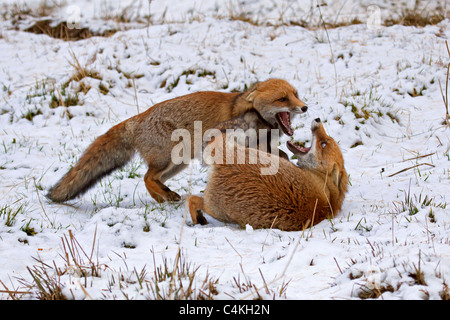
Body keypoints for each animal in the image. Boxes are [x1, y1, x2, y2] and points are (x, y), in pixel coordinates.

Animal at [47, 78, 308, 202]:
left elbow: (280, 156)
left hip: (178, 164)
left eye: (296, 94)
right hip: (169, 158)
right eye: (282, 99)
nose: (305, 107)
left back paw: (162, 196)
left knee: (151, 179)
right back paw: (165, 196)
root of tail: (139, 117)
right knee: (146, 177)